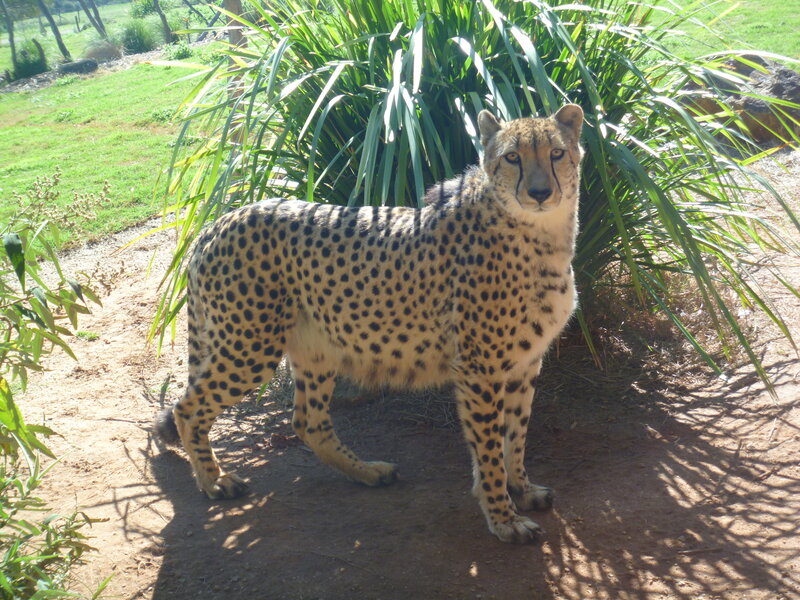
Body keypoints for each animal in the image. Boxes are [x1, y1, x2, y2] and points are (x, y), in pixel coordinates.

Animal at [155, 104, 585, 543]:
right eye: (512, 157)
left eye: (556, 153)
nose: (539, 193)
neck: (543, 236)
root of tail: (219, 222)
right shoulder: (480, 369)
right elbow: (489, 449)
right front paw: (503, 517)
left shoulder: (524, 363)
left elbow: (516, 435)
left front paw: (522, 489)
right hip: (247, 349)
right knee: (188, 409)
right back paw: (214, 482)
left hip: (314, 350)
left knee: (308, 421)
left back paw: (368, 472)